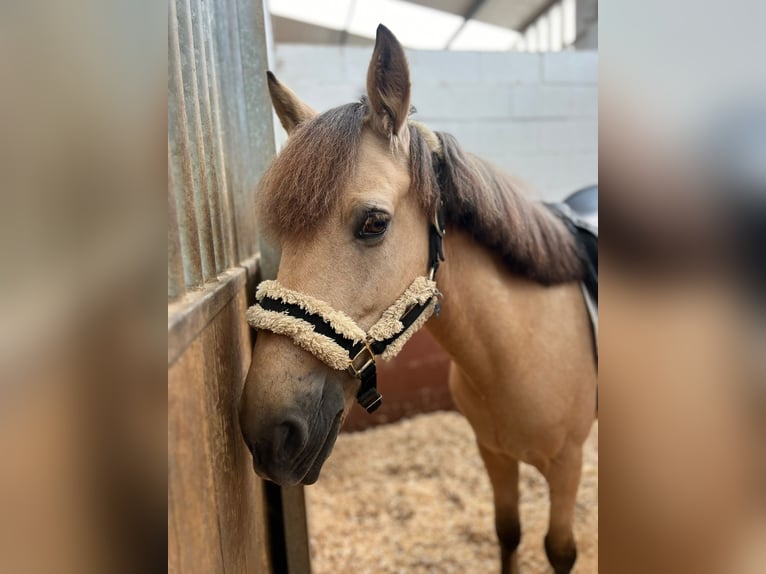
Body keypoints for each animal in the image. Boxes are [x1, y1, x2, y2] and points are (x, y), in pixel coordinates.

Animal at [240, 24, 600, 572]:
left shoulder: (566, 466)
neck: (519, 344)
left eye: (374, 222)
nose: (267, 431)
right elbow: (508, 532)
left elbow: (559, 550)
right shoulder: (493, 453)